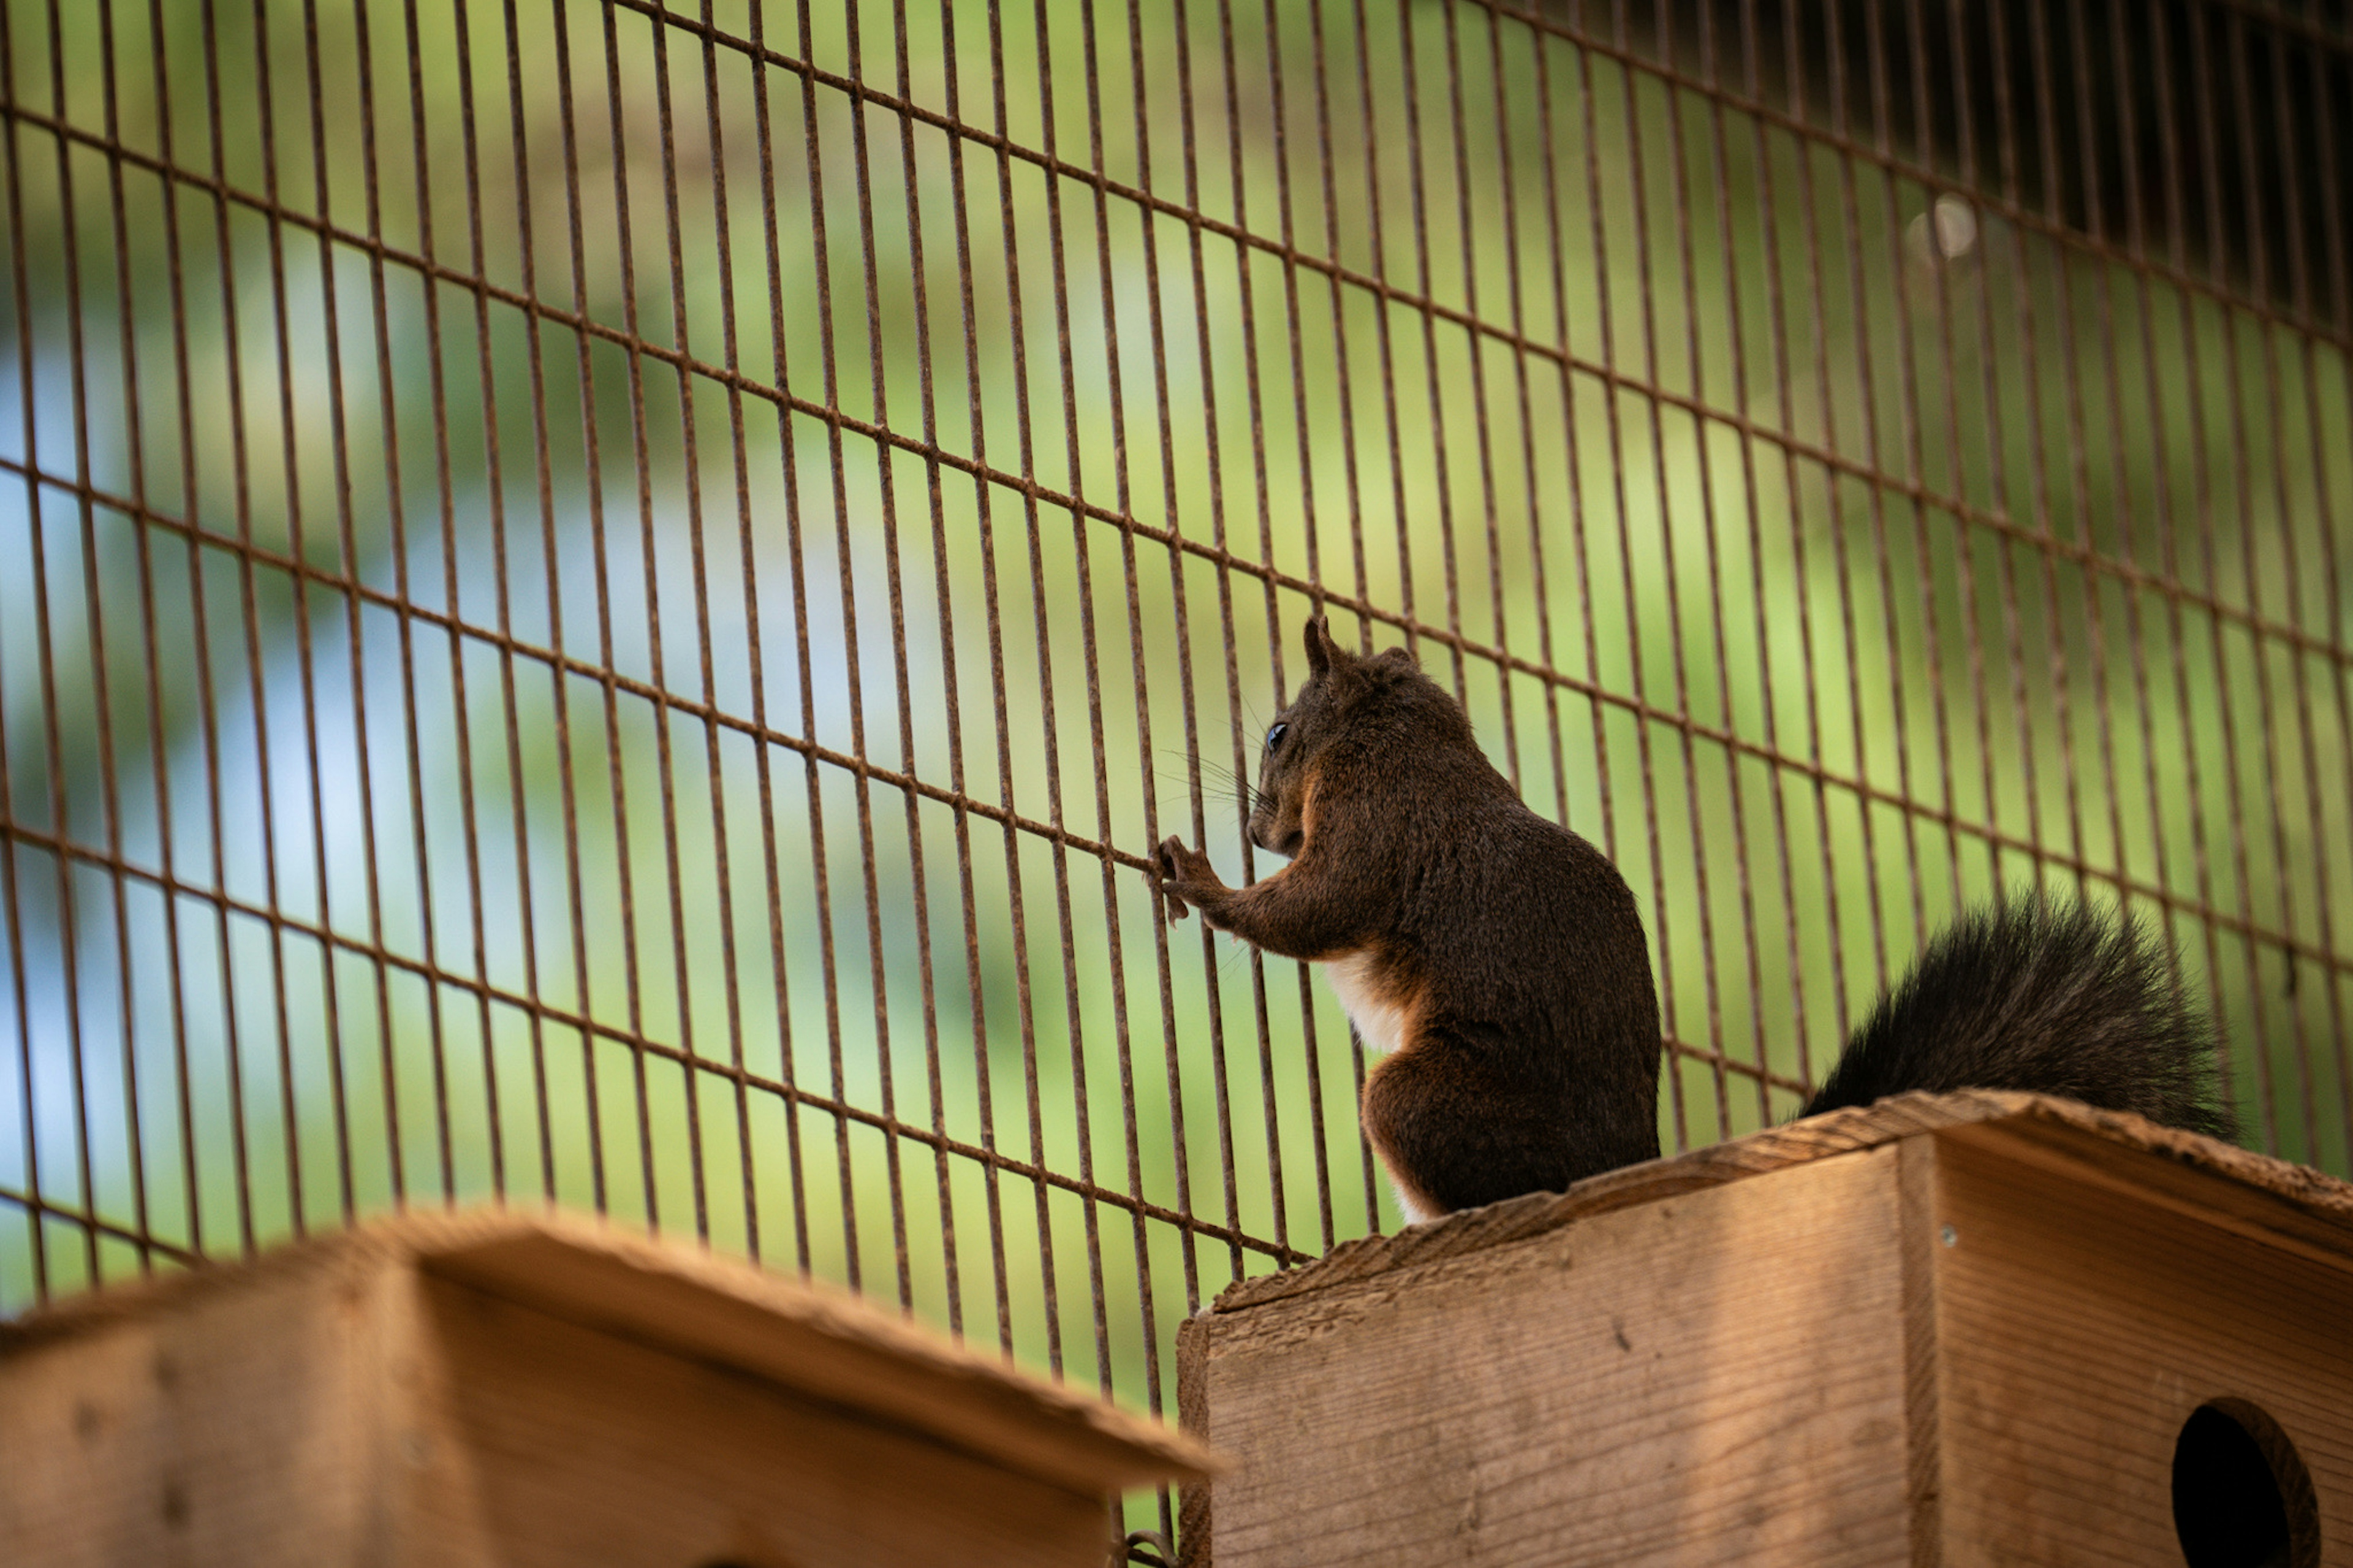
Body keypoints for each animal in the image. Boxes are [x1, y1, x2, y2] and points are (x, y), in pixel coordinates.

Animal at [1158, 612, 2240, 1224]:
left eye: (1277, 732)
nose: (1253, 827)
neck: (1403, 735)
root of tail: (1621, 1165)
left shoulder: (1382, 820)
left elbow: (1316, 908)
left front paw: (1201, 878)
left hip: (1425, 1102)